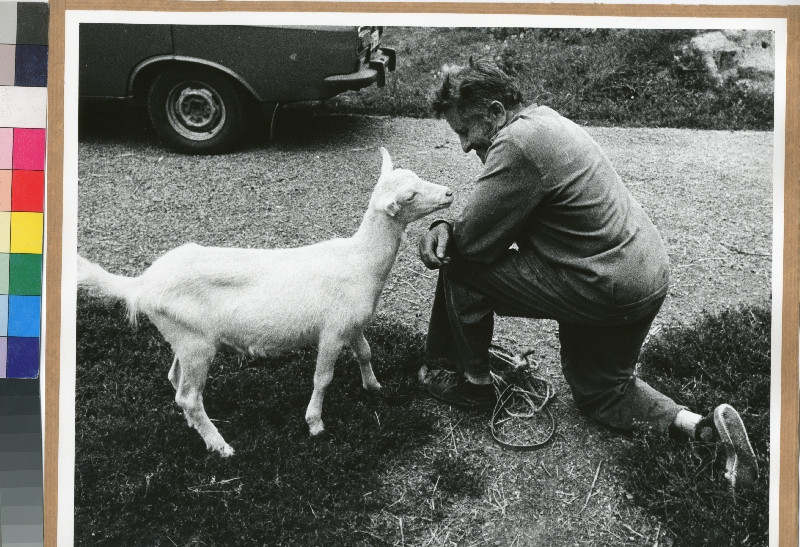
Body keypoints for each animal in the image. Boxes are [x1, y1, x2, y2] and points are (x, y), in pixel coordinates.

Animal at [78, 148, 454, 456]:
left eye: (416, 178)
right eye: (410, 195)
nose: (450, 193)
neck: (361, 261)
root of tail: (143, 284)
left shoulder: (352, 322)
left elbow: (365, 352)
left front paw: (374, 386)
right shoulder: (332, 330)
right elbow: (323, 378)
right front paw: (315, 424)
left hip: (185, 336)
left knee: (175, 380)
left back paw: (195, 427)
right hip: (196, 342)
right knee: (188, 396)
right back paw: (220, 445)